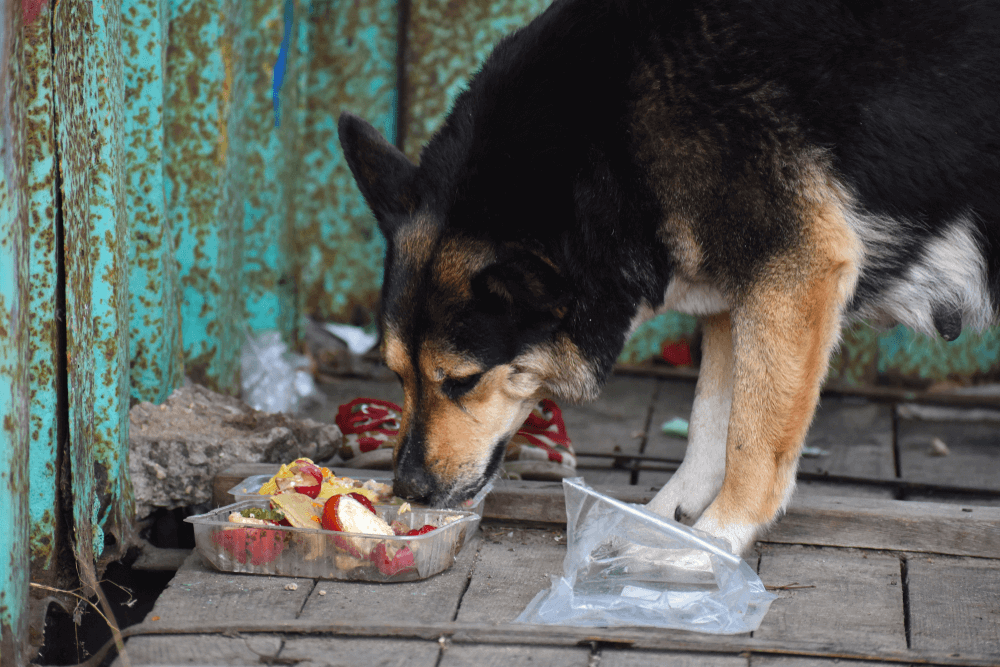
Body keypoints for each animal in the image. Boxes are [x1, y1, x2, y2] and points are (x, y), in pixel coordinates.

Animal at [338, 0, 1000, 556]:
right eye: (395, 374)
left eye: (463, 382)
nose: (409, 489)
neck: (609, 138)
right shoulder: (738, 296)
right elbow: (712, 423)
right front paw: (665, 521)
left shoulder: (793, 273)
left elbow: (752, 439)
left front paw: (717, 541)